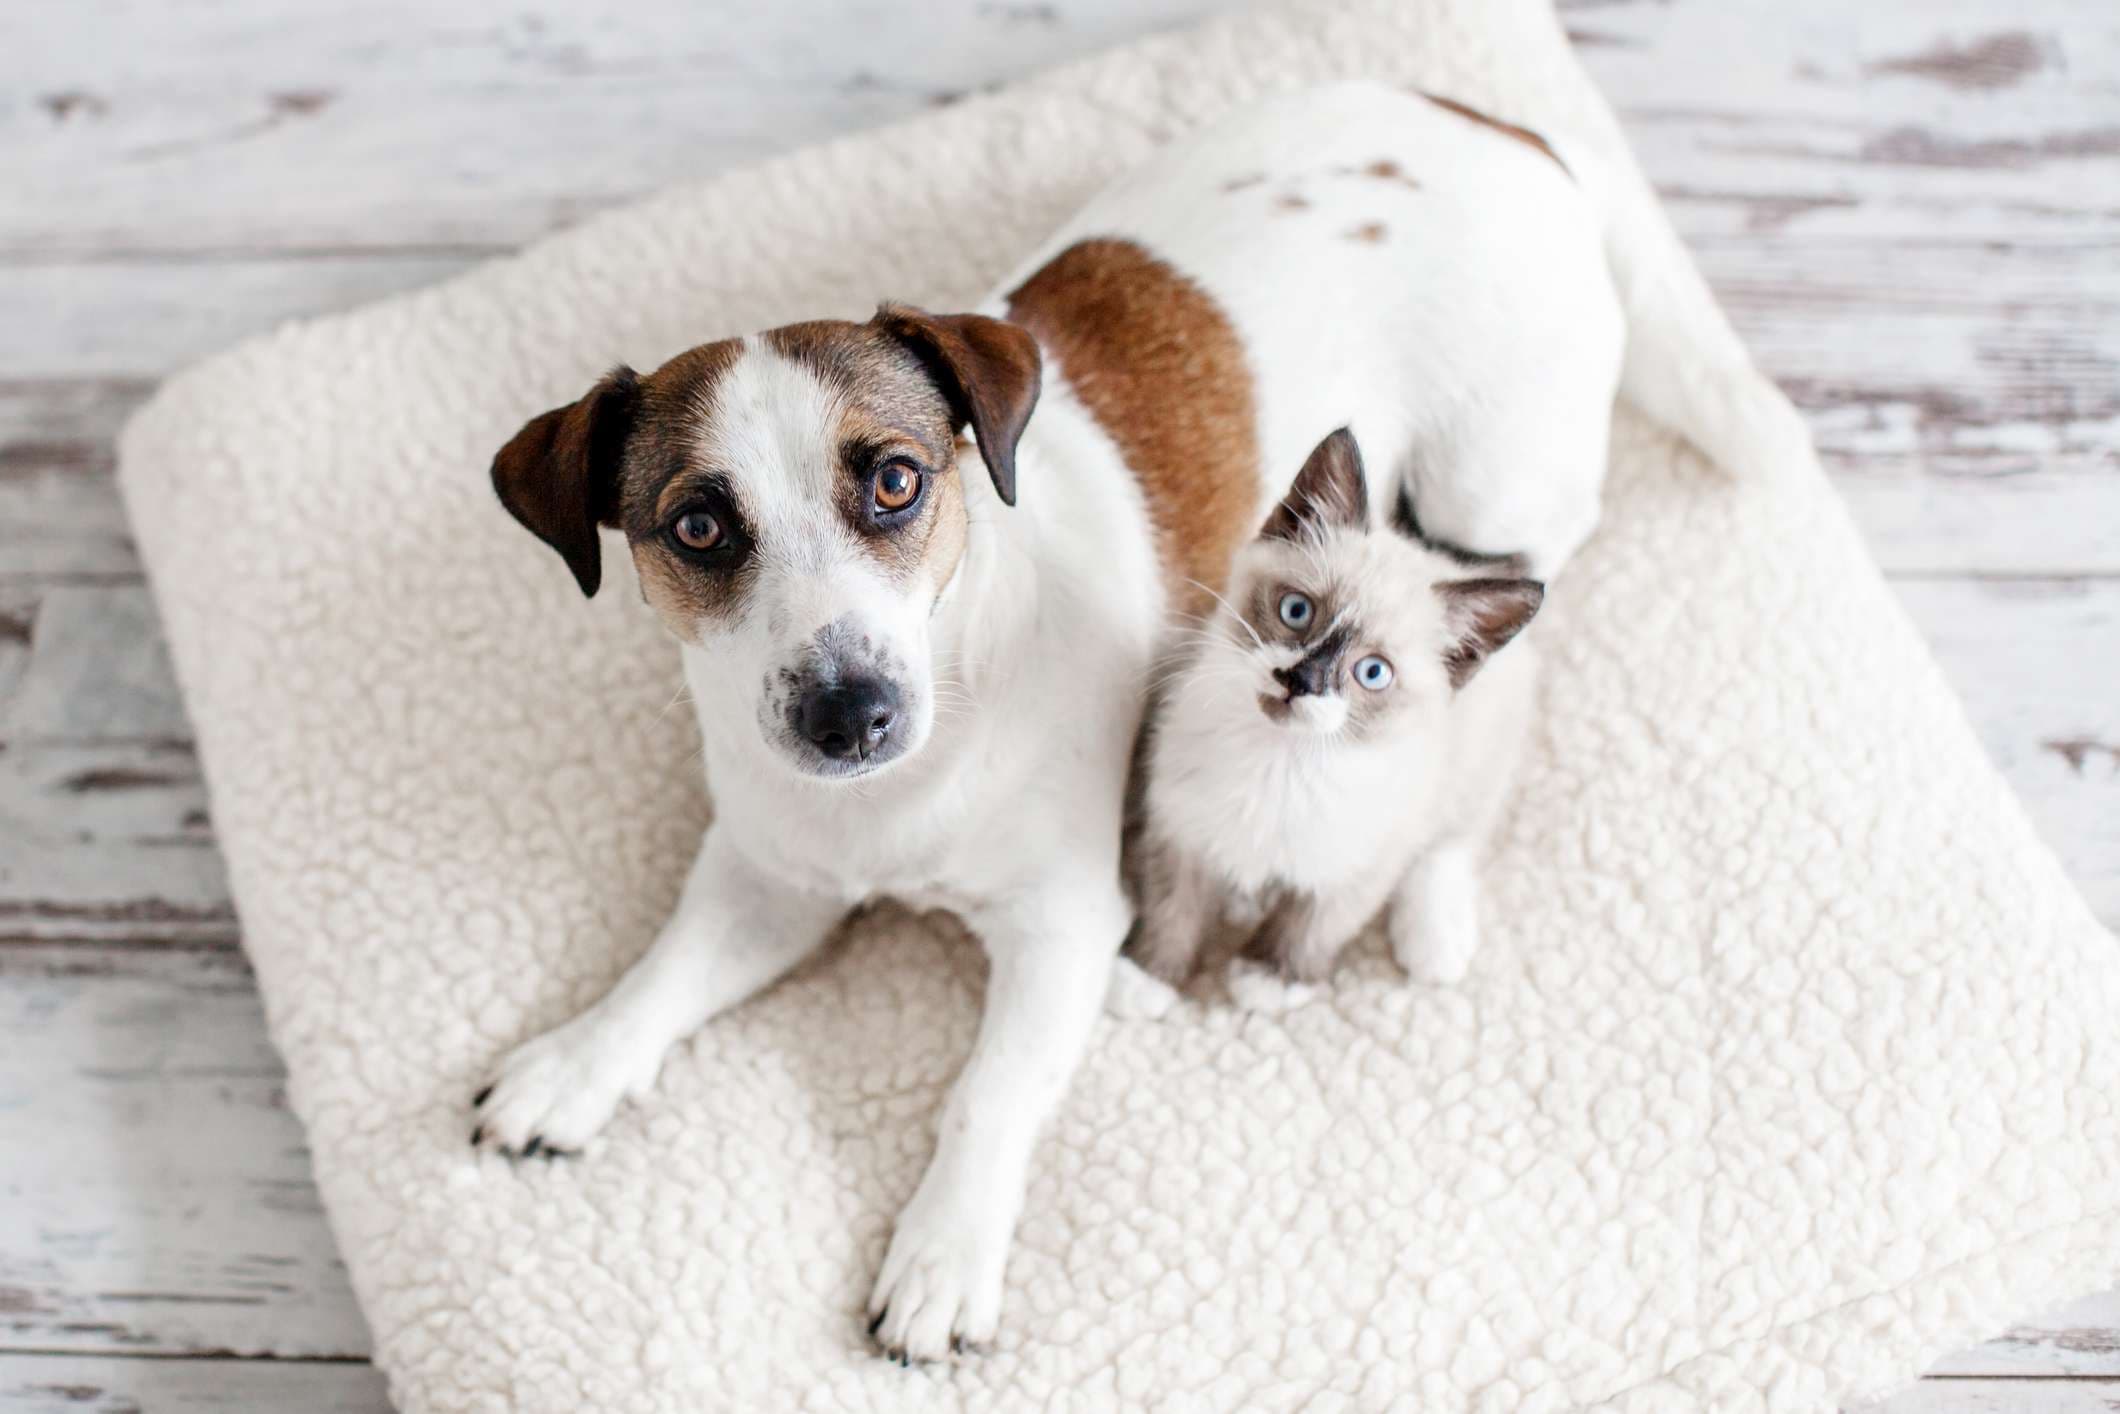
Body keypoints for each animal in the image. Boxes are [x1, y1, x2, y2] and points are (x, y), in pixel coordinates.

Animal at [1119, 432, 1551, 1017]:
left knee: (1453, 842)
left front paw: (1271, 979)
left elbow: (1312, 925)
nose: (1298, 680)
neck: (1280, 760)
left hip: (1476, 764)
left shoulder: (1359, 864)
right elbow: (1172, 910)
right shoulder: (1181, 827)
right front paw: (1149, 976)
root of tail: (1450, 560)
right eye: (1297, 611)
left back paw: (1436, 942)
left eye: (1372, 673)